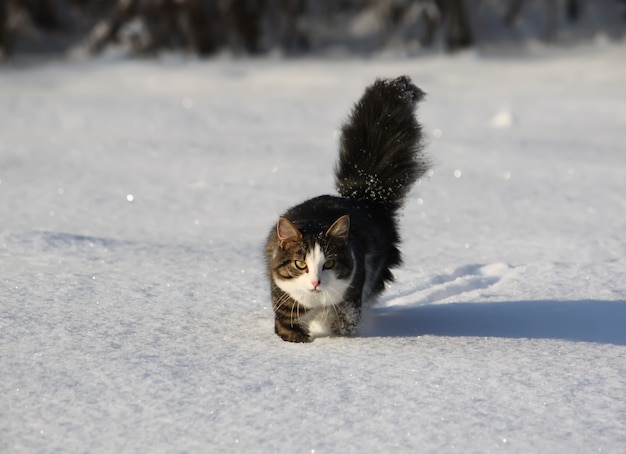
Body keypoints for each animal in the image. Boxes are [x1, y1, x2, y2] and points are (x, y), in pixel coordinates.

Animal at [264, 76, 428, 342]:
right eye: (300, 264)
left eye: (329, 264)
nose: (315, 283)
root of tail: (364, 196)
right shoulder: (285, 305)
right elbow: (291, 331)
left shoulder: (352, 294)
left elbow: (345, 323)